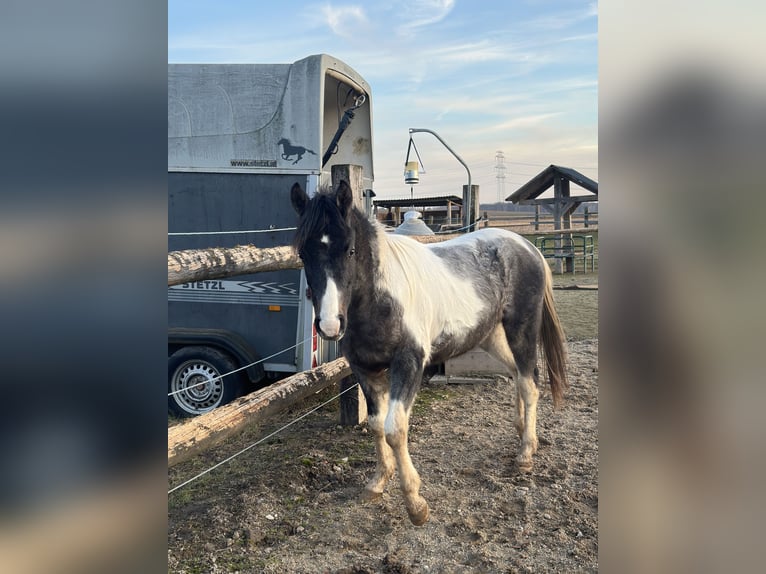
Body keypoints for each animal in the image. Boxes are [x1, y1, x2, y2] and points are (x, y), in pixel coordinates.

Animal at [290, 180, 568, 526]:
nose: (329, 325)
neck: (380, 301)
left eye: (350, 249)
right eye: (303, 254)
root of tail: (527, 247)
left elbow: (395, 429)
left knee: (530, 383)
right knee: (519, 374)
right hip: (491, 336)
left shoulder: (409, 363)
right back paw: (520, 435)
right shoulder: (364, 369)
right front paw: (377, 482)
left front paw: (415, 504)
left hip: (522, 329)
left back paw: (526, 454)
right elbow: (375, 424)